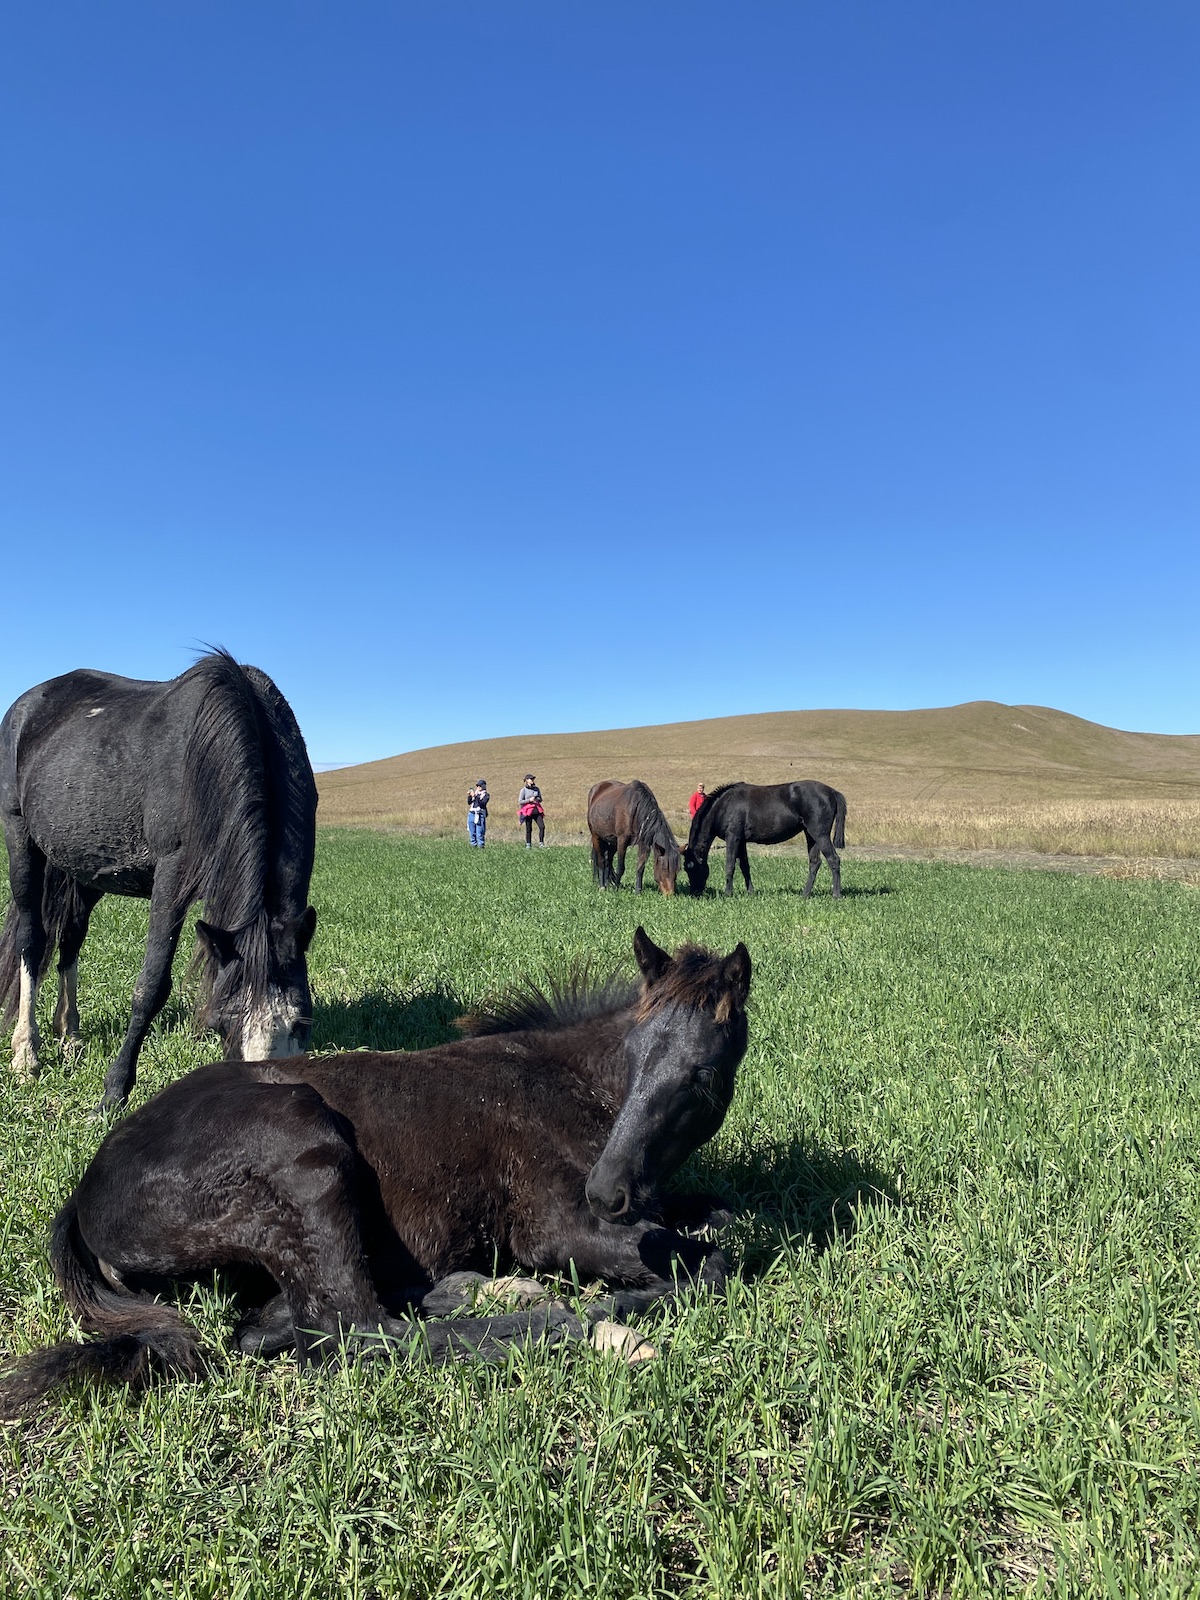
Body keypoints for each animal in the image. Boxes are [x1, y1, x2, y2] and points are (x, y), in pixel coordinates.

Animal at [0, 651, 318, 1109]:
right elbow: (151, 985)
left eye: (301, 1021)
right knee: (32, 937)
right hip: (21, 840)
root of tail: (25, 706)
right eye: (226, 1021)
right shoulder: (171, 875)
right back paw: (26, 1052)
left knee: (71, 937)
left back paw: (70, 1034)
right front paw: (114, 1092)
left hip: (83, 869)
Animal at [0, 929, 751, 1413]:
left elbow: (713, 1217)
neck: (570, 1085)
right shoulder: (558, 1227)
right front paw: (610, 1307)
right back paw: (575, 1322)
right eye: (636, 1054)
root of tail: (84, 1196)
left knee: (283, 1323)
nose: (608, 1191)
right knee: (352, 1331)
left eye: (702, 1074)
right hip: (306, 1157)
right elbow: (709, 1263)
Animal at [684, 780, 847, 898]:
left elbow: (730, 866)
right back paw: (805, 894)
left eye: (690, 867)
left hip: (820, 835)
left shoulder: (733, 838)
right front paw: (751, 892)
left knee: (833, 860)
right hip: (811, 835)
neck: (724, 805)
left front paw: (728, 893)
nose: (694, 893)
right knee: (815, 862)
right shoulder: (741, 841)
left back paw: (836, 895)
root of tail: (832, 792)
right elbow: (744, 866)